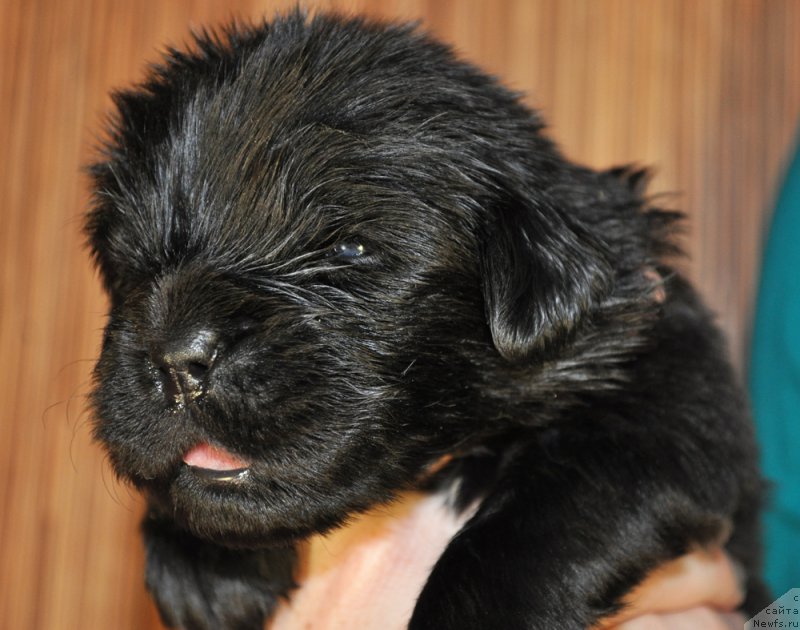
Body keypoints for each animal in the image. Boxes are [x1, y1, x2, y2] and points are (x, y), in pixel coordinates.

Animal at [87, 11, 768, 630]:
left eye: (351, 249)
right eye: (132, 259)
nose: (177, 360)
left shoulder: (671, 406)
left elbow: (544, 517)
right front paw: (203, 557)